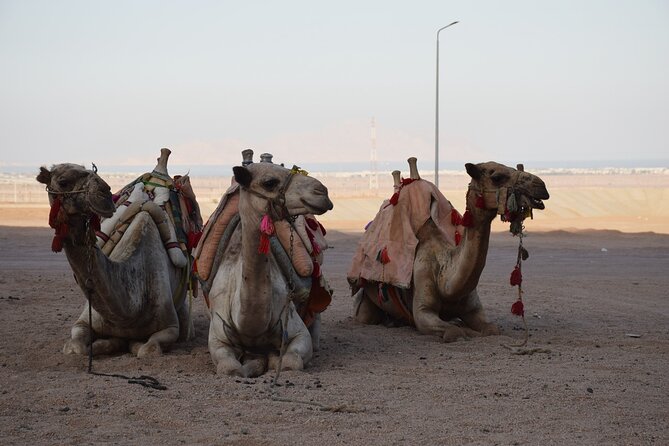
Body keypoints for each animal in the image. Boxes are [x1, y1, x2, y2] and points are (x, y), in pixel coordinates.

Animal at [37, 152, 197, 357]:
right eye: (63, 181)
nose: (105, 193)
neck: (129, 310)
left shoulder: (169, 327)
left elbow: (146, 349)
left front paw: (131, 343)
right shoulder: (83, 321)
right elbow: (76, 348)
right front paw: (103, 344)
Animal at [206, 160, 333, 377]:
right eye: (269, 182)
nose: (322, 191)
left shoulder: (295, 329)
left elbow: (290, 362)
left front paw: (271, 360)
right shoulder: (218, 336)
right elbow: (231, 369)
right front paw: (253, 363)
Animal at [349, 159, 549, 342]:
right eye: (497, 177)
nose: (541, 186)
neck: (444, 278)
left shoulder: (473, 309)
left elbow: (492, 329)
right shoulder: (423, 310)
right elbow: (455, 332)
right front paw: (463, 330)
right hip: (366, 299)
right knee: (365, 315)